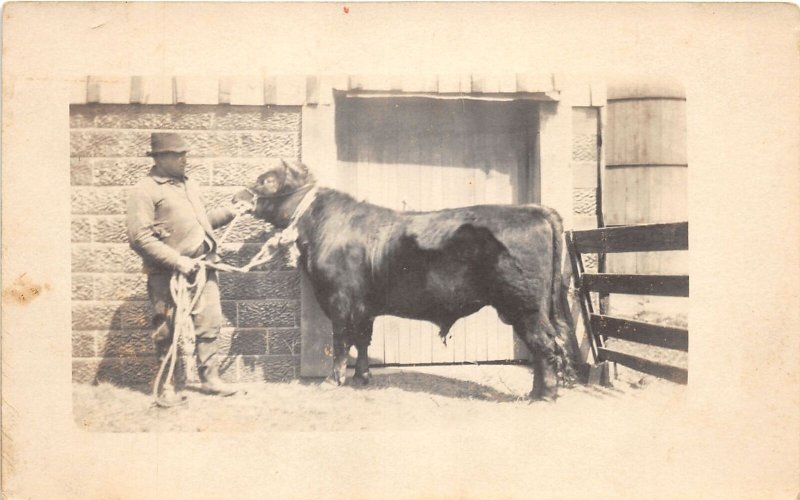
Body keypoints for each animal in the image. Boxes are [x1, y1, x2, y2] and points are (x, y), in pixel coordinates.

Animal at [234, 160, 572, 402]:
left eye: (267, 180)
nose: (237, 196)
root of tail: (534, 209)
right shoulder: (364, 306)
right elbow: (363, 339)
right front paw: (362, 378)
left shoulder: (338, 300)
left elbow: (341, 340)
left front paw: (333, 380)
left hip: (525, 306)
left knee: (544, 344)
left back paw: (542, 395)